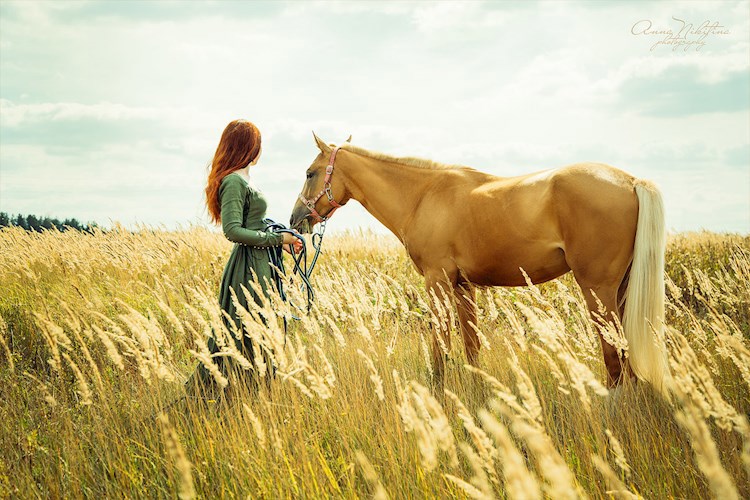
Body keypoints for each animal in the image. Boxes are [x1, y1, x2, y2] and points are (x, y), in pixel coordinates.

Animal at [290, 133, 672, 394]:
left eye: (310, 173)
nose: (295, 220)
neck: (423, 195)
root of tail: (631, 181)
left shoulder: (437, 281)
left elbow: (440, 343)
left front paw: (439, 390)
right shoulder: (463, 286)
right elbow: (471, 345)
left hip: (597, 289)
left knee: (614, 354)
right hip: (621, 289)